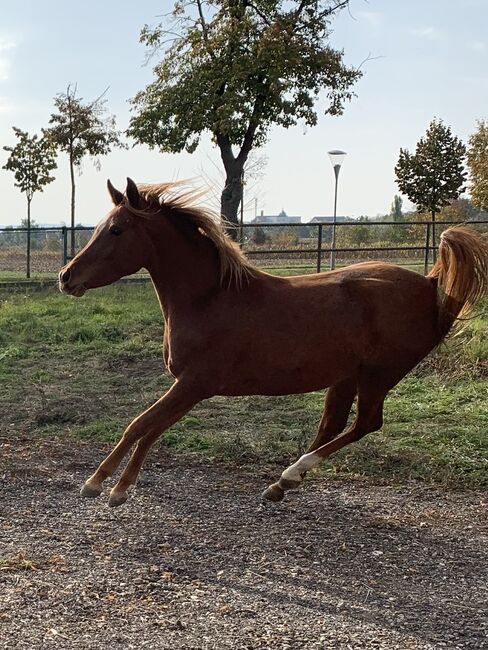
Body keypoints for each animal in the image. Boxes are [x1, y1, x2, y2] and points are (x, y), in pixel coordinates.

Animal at [58, 178, 488, 506]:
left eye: (116, 230)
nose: (66, 276)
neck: (210, 298)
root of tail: (430, 284)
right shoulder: (189, 387)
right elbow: (149, 427)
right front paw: (111, 484)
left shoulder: (194, 384)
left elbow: (142, 425)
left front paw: (105, 486)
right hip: (347, 376)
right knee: (333, 425)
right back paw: (280, 484)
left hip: (378, 375)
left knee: (366, 423)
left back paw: (291, 474)